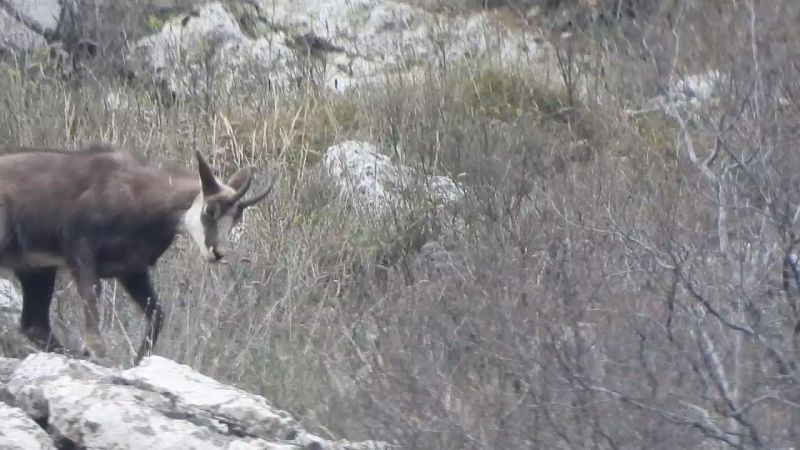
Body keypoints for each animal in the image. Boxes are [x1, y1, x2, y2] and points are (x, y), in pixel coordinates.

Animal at [0, 144, 273, 364]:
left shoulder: (132, 269)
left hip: (35, 269)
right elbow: (92, 296)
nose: (218, 253)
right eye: (210, 210)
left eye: (236, 218)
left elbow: (157, 312)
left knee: (34, 324)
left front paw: (138, 359)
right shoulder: (79, 247)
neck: (141, 200)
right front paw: (97, 350)